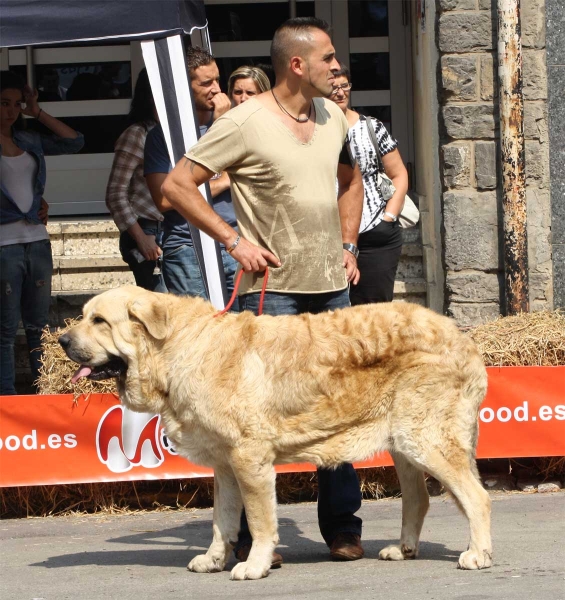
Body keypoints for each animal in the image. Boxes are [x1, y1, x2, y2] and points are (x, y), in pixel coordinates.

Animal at [59, 288, 492, 580]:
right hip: (404, 445)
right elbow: (222, 520)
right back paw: (405, 550)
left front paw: (254, 565)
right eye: (83, 317)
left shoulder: (249, 459)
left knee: (478, 497)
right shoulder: (225, 467)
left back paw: (478, 554)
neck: (177, 349)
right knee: (418, 499)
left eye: (99, 321)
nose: (62, 339)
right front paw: (214, 559)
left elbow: (259, 520)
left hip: (427, 441)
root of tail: (462, 336)